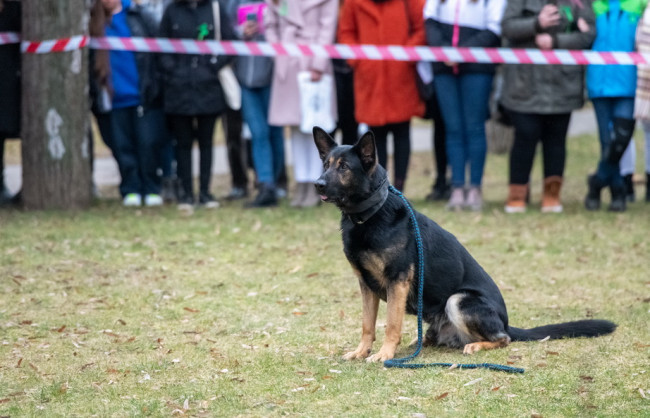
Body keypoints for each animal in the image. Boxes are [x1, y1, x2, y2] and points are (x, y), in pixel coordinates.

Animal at [312, 128, 616, 362]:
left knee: (503, 338)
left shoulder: (397, 281)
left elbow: (392, 325)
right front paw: (361, 351)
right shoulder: (366, 284)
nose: (317, 184)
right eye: (326, 164)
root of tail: (506, 322)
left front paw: (385, 354)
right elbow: (367, 324)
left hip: (458, 300)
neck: (369, 214)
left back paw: (476, 344)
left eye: (344, 167)